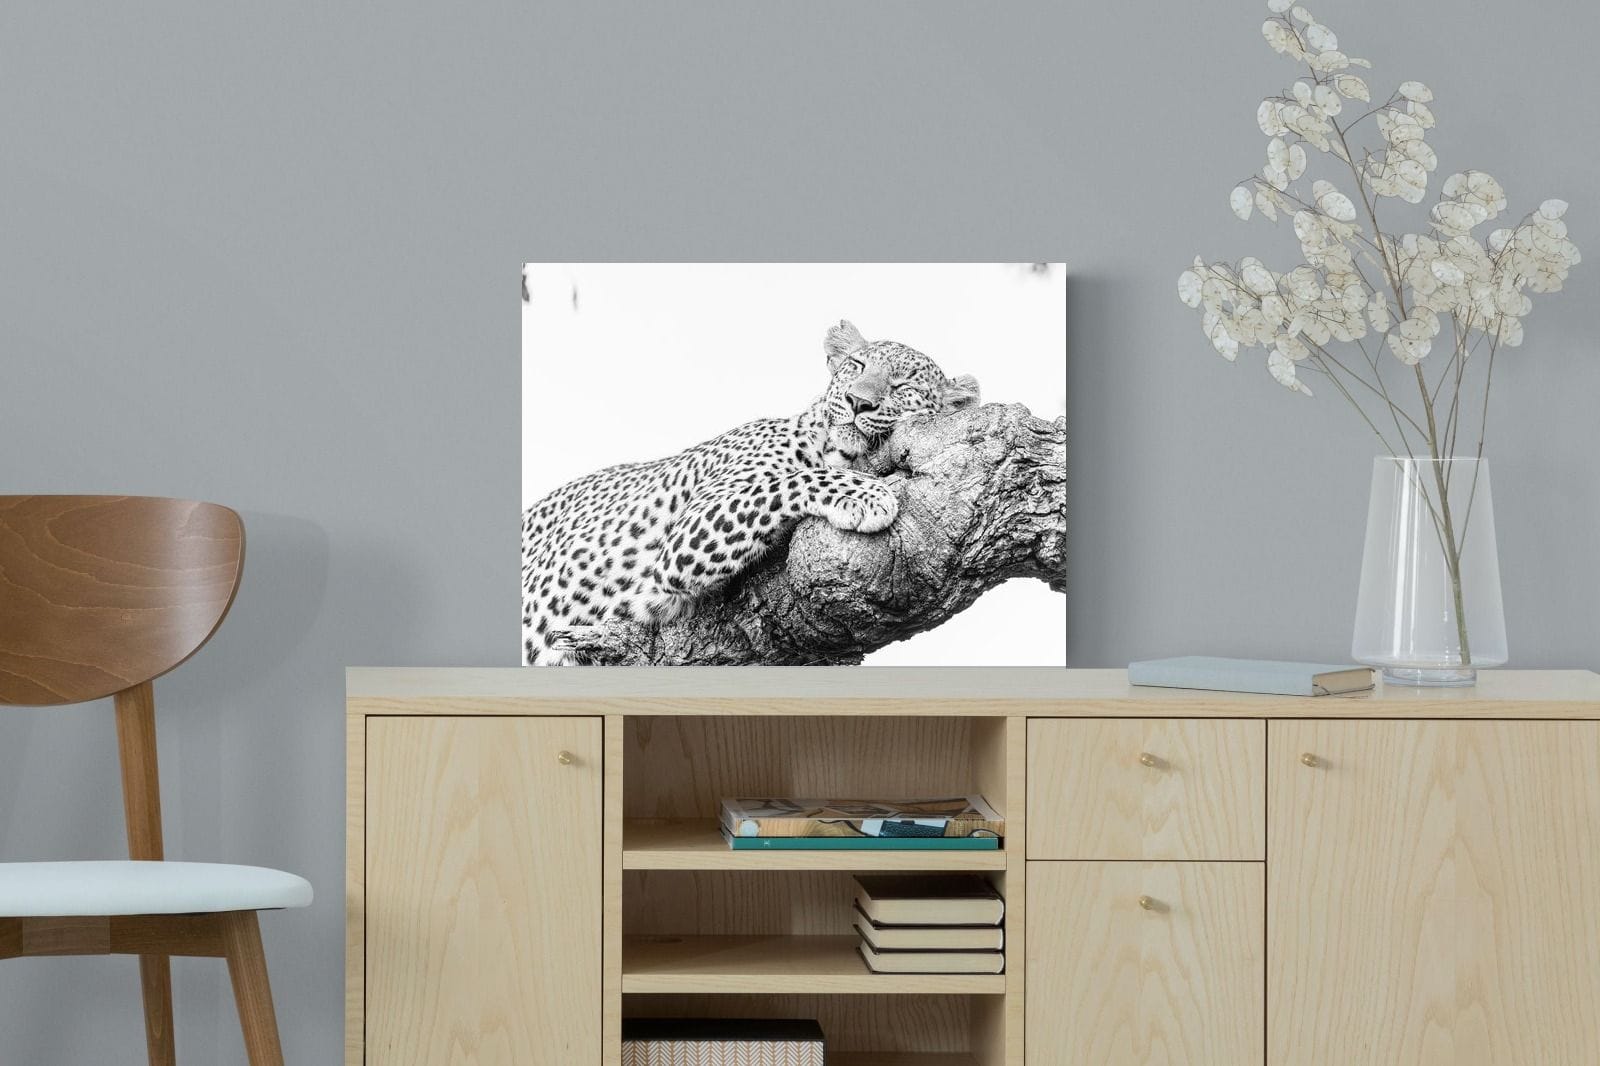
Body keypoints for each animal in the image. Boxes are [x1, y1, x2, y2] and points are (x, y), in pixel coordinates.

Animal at [521, 319, 981, 664]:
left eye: (904, 387)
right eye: (856, 364)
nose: (858, 401)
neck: (834, 447)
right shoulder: (686, 534)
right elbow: (786, 481)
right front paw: (867, 494)